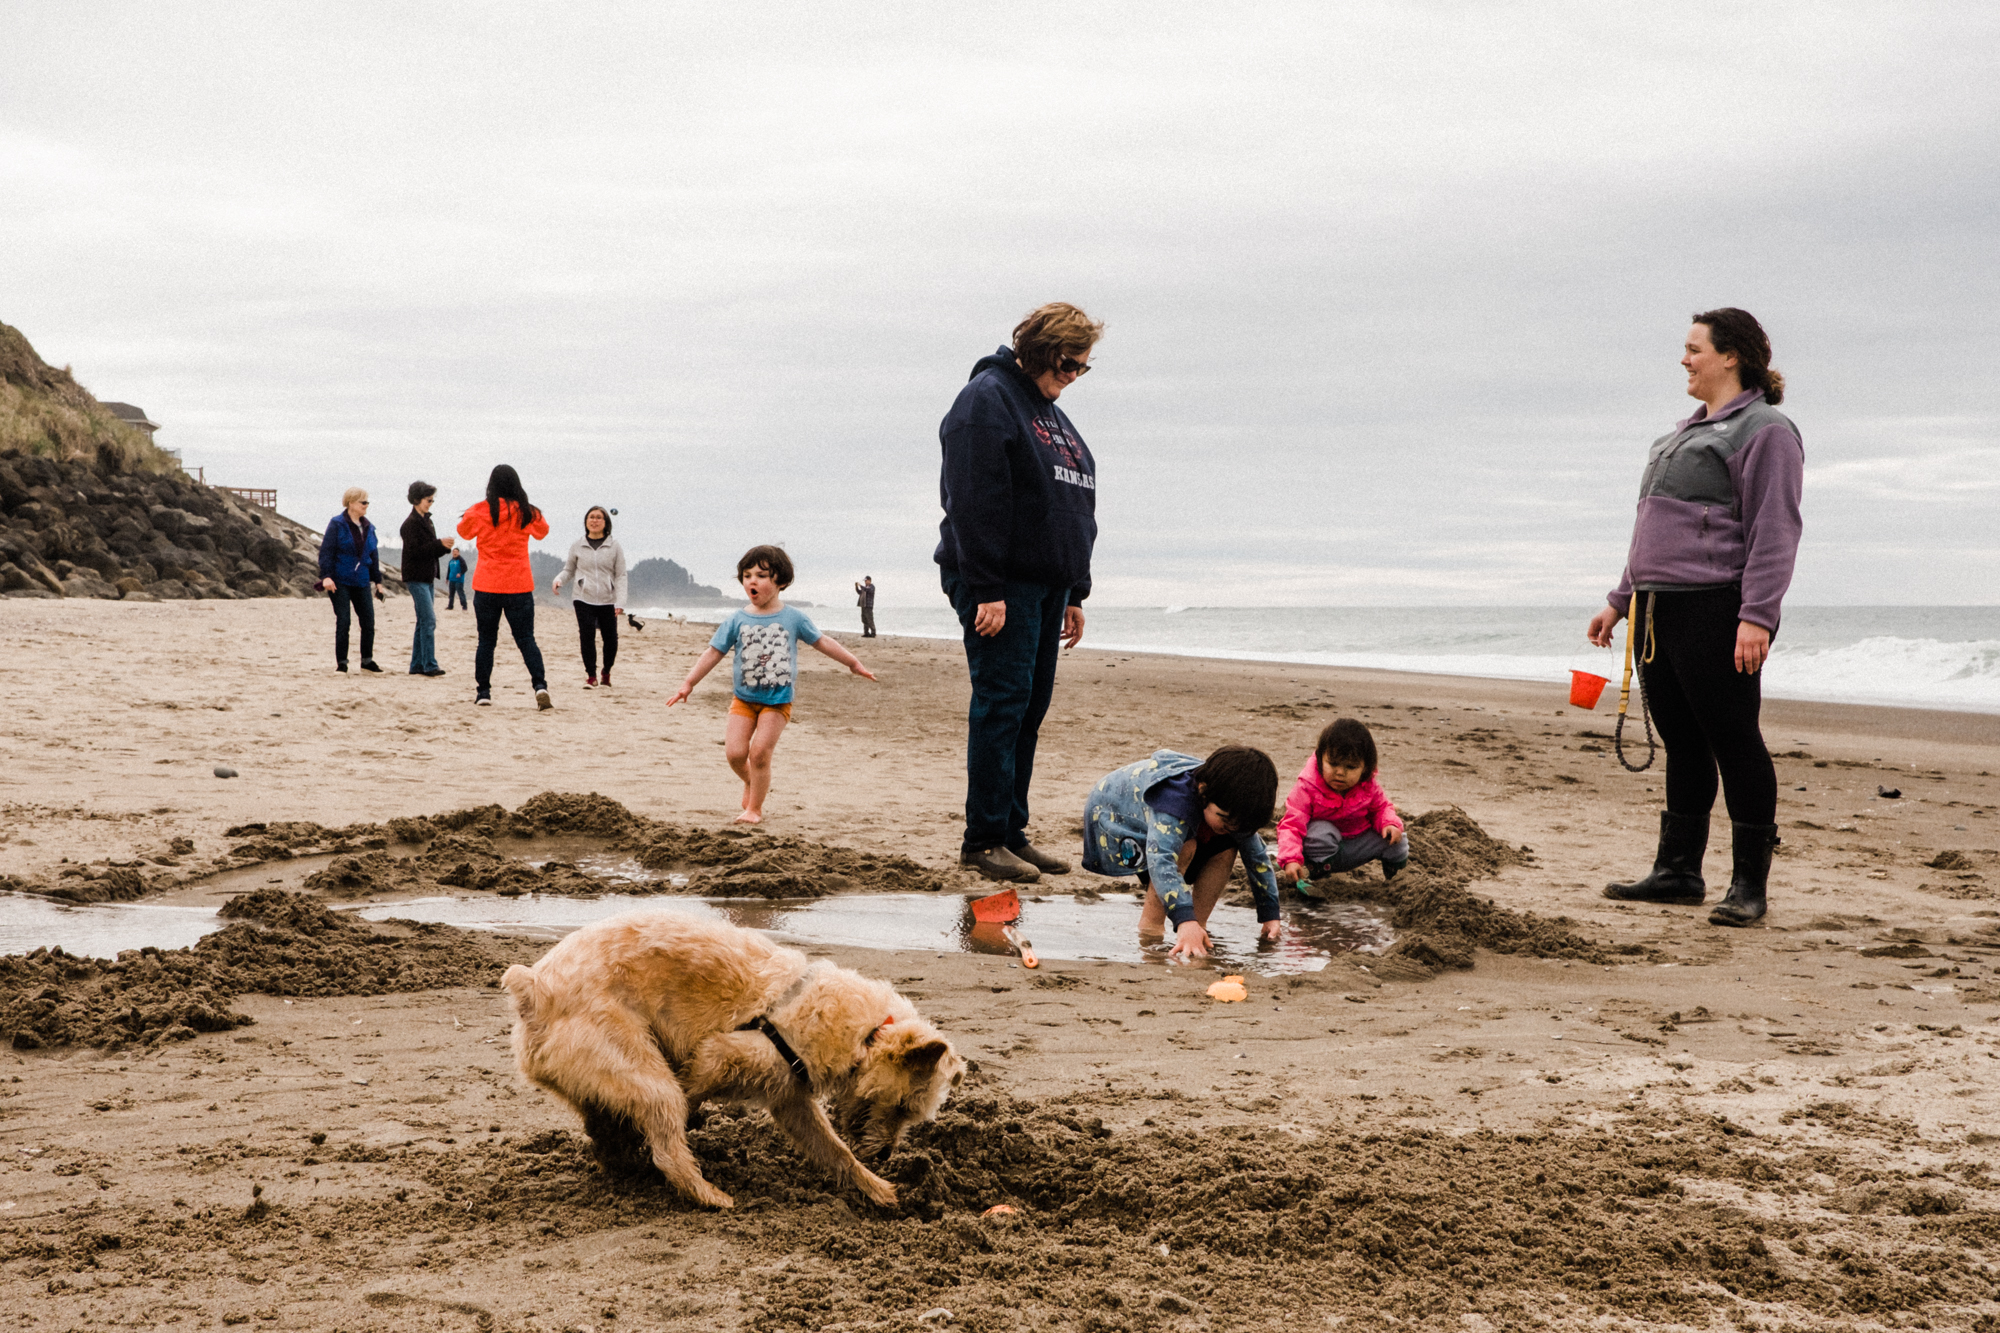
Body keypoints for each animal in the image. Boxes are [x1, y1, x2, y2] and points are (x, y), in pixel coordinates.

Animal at [504, 912, 964, 1200]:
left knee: (608, 1125)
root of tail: (535, 992)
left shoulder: (790, 1097)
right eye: (903, 1106)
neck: (864, 1032)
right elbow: (691, 1091)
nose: (886, 1155)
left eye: (912, 1114)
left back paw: (621, 1157)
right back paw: (709, 1195)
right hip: (638, 1067)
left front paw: (875, 1188)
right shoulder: (723, 1053)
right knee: (668, 1141)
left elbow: (835, 1150)